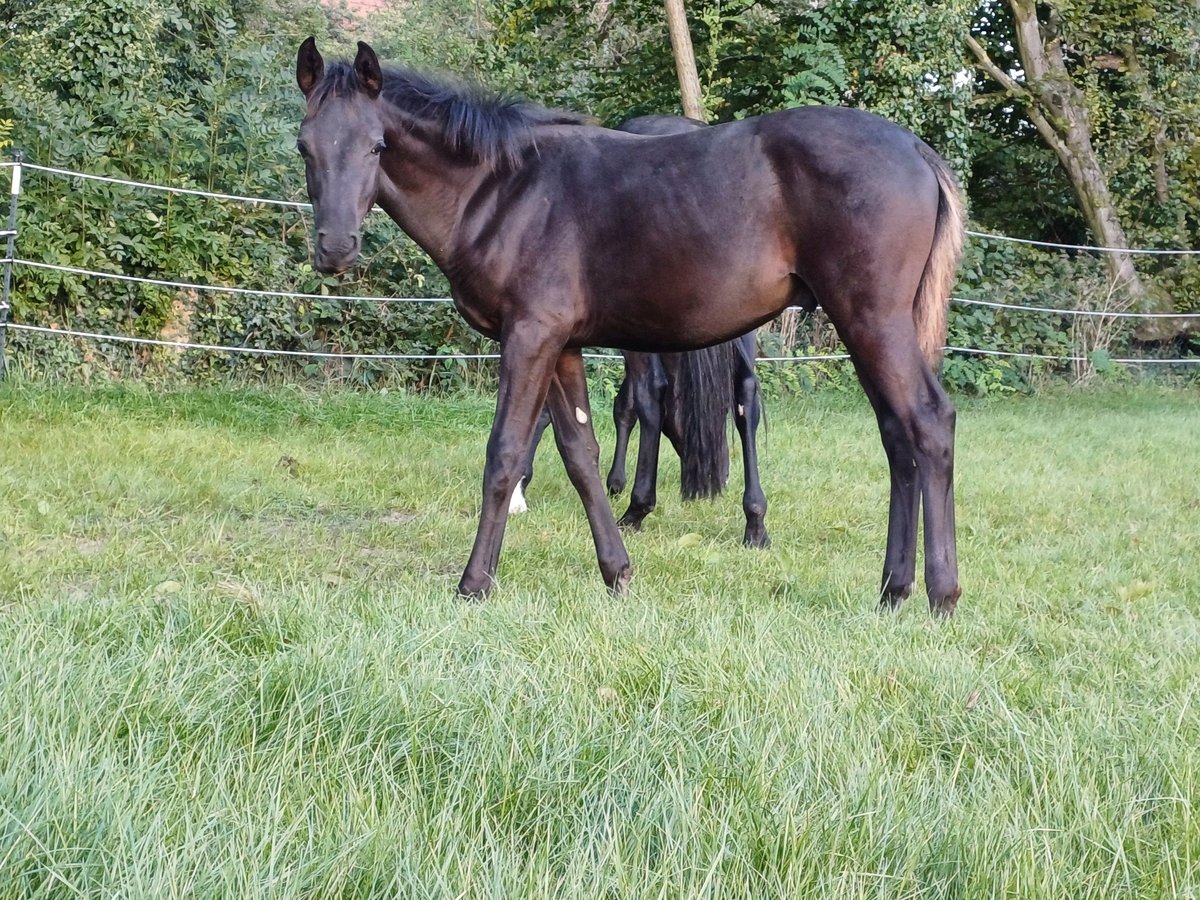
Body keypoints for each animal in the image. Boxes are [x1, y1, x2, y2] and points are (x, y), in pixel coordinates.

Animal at [297, 37, 964, 614]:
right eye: (306, 146)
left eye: (377, 145)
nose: (335, 248)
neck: (504, 189)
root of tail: (916, 150)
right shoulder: (562, 345)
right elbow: (580, 455)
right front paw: (616, 572)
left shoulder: (530, 336)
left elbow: (505, 452)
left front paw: (474, 583)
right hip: (868, 327)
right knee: (896, 437)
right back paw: (893, 589)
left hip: (872, 320)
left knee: (928, 423)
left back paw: (940, 595)